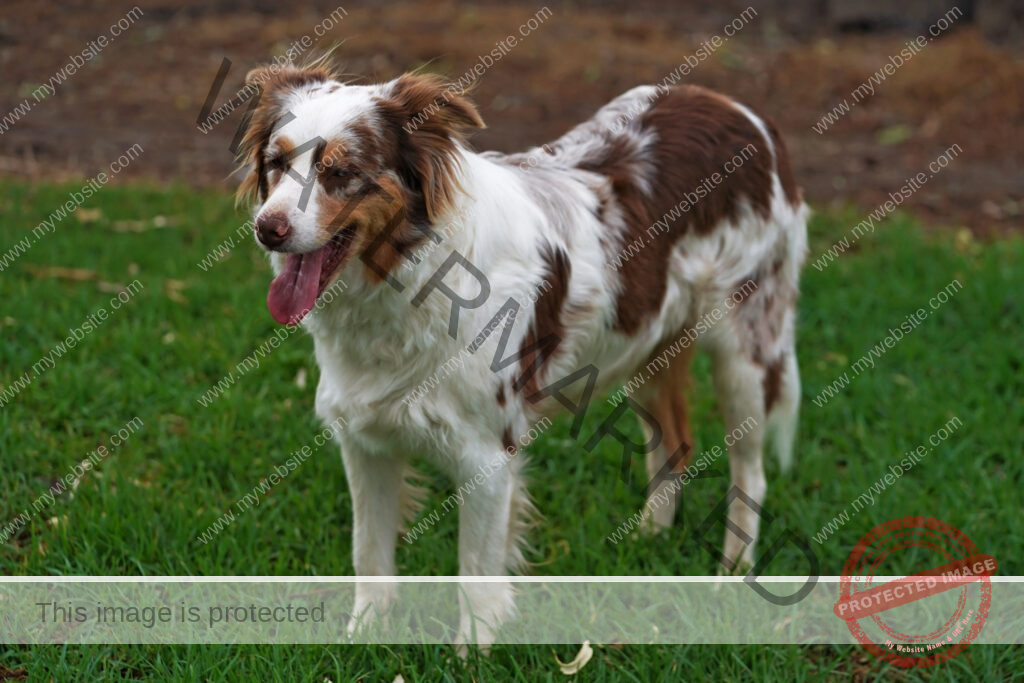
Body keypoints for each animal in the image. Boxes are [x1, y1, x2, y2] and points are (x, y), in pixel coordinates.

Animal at [237, 58, 806, 647]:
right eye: (276, 164)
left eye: (340, 171)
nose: (267, 229)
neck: (407, 278)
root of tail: (738, 108)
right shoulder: (364, 441)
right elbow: (369, 556)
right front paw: (363, 636)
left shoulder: (486, 455)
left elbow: (475, 574)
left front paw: (472, 653)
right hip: (645, 342)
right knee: (677, 443)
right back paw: (650, 537)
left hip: (745, 352)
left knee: (750, 470)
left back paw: (733, 571)